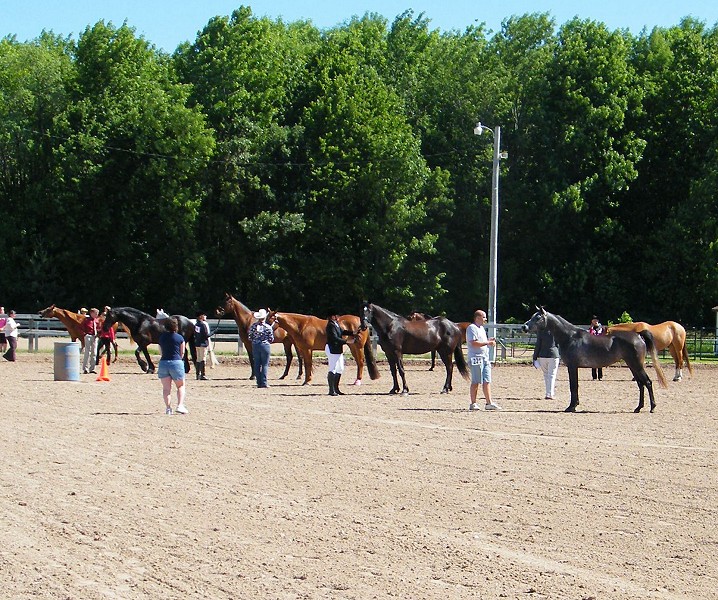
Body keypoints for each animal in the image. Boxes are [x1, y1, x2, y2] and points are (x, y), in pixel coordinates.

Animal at [522, 307, 668, 413]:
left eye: (538, 317)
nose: (524, 327)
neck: (569, 337)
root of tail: (638, 335)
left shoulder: (572, 366)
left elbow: (573, 386)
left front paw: (571, 407)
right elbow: (575, 386)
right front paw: (575, 405)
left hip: (637, 365)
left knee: (647, 382)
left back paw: (652, 407)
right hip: (632, 366)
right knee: (640, 384)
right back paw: (638, 408)